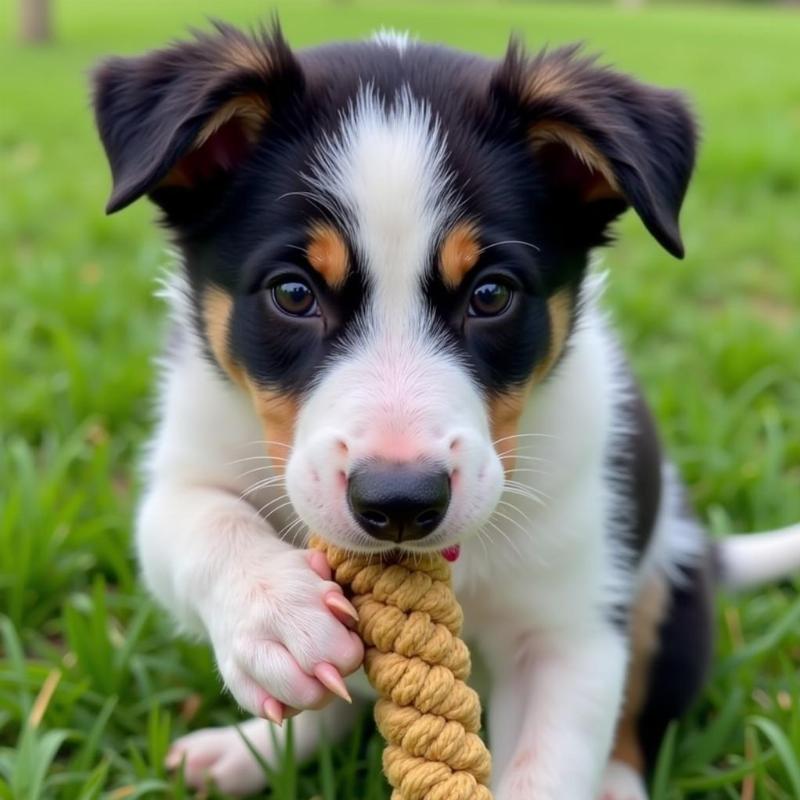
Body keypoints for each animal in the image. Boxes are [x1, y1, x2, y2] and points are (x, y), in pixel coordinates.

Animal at [90, 23, 800, 800]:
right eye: (293, 293)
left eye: (491, 295)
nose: (400, 503)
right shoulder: (188, 458)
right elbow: (200, 521)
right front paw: (277, 618)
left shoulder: (568, 635)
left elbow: (549, 768)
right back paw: (243, 753)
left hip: (666, 590)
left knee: (638, 712)